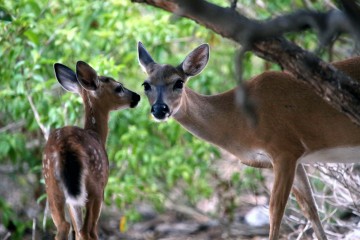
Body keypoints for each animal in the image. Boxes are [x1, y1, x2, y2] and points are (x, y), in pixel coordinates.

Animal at [43, 62, 140, 240]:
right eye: (119, 87)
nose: (136, 97)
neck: (96, 134)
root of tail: (64, 146)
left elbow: (76, 229)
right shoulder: (102, 185)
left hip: (52, 185)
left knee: (65, 226)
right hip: (94, 185)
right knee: (88, 230)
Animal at [139, 42, 360, 239]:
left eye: (179, 82)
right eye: (146, 84)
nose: (159, 109)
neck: (239, 122)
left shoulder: (285, 148)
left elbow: (275, 210)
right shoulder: (292, 159)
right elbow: (311, 210)